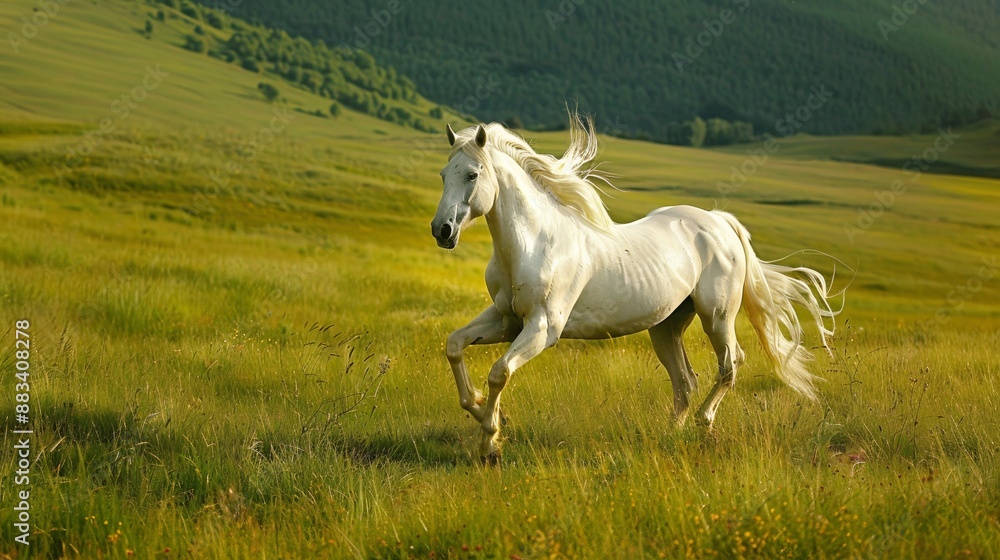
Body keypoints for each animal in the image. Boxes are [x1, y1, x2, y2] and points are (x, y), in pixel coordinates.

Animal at [431, 115, 838, 464]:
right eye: (443, 175)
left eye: (472, 174)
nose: (442, 230)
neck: (535, 244)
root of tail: (719, 221)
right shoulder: (506, 320)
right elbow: (454, 345)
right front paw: (482, 408)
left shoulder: (543, 327)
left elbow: (499, 372)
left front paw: (490, 442)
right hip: (667, 326)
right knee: (685, 382)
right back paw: (670, 435)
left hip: (717, 317)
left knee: (729, 365)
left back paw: (704, 423)